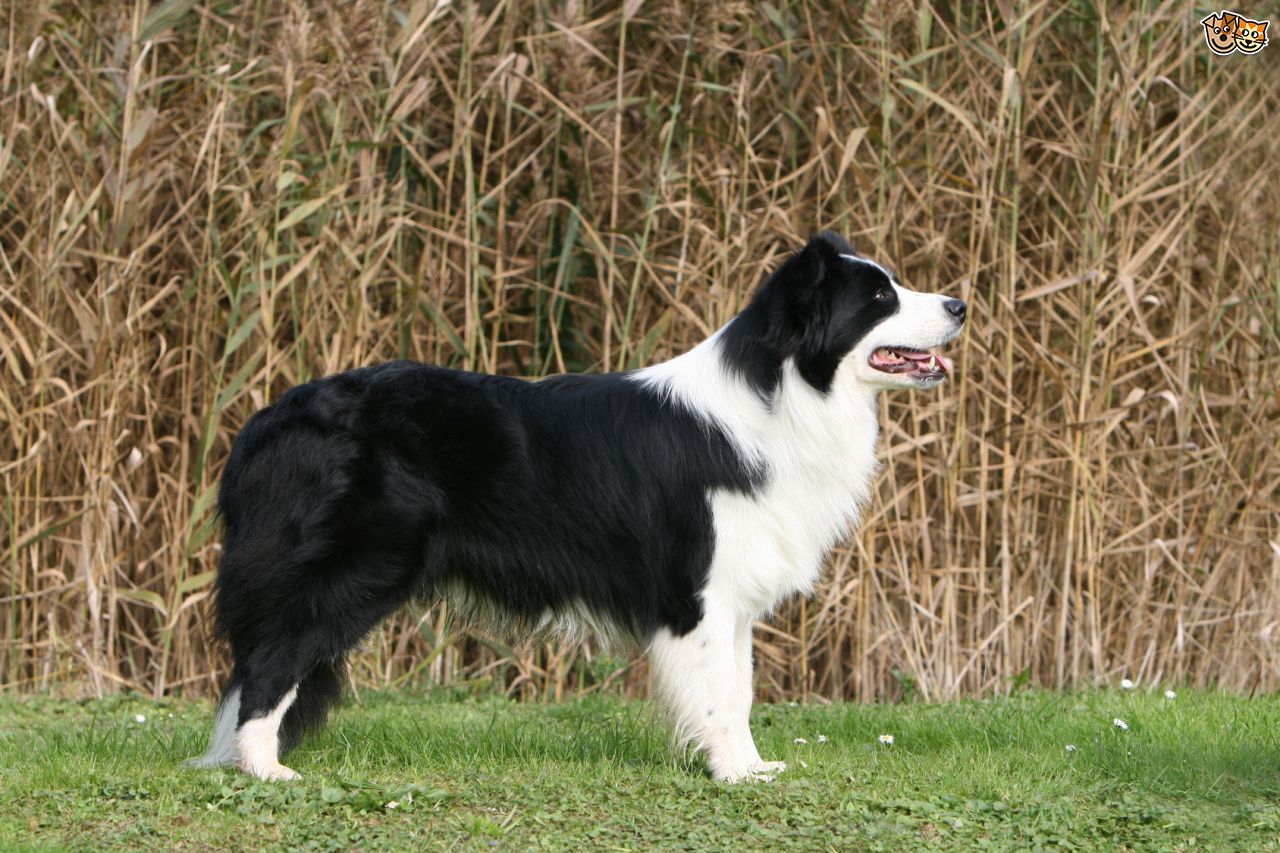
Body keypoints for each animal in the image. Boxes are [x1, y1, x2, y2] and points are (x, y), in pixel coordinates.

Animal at [192, 229, 962, 778]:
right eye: (880, 298)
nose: (959, 304)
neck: (783, 389)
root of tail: (269, 418)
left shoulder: (732, 590)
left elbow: (739, 688)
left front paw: (752, 767)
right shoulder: (700, 591)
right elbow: (719, 691)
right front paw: (732, 774)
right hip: (356, 565)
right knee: (272, 660)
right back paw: (264, 769)